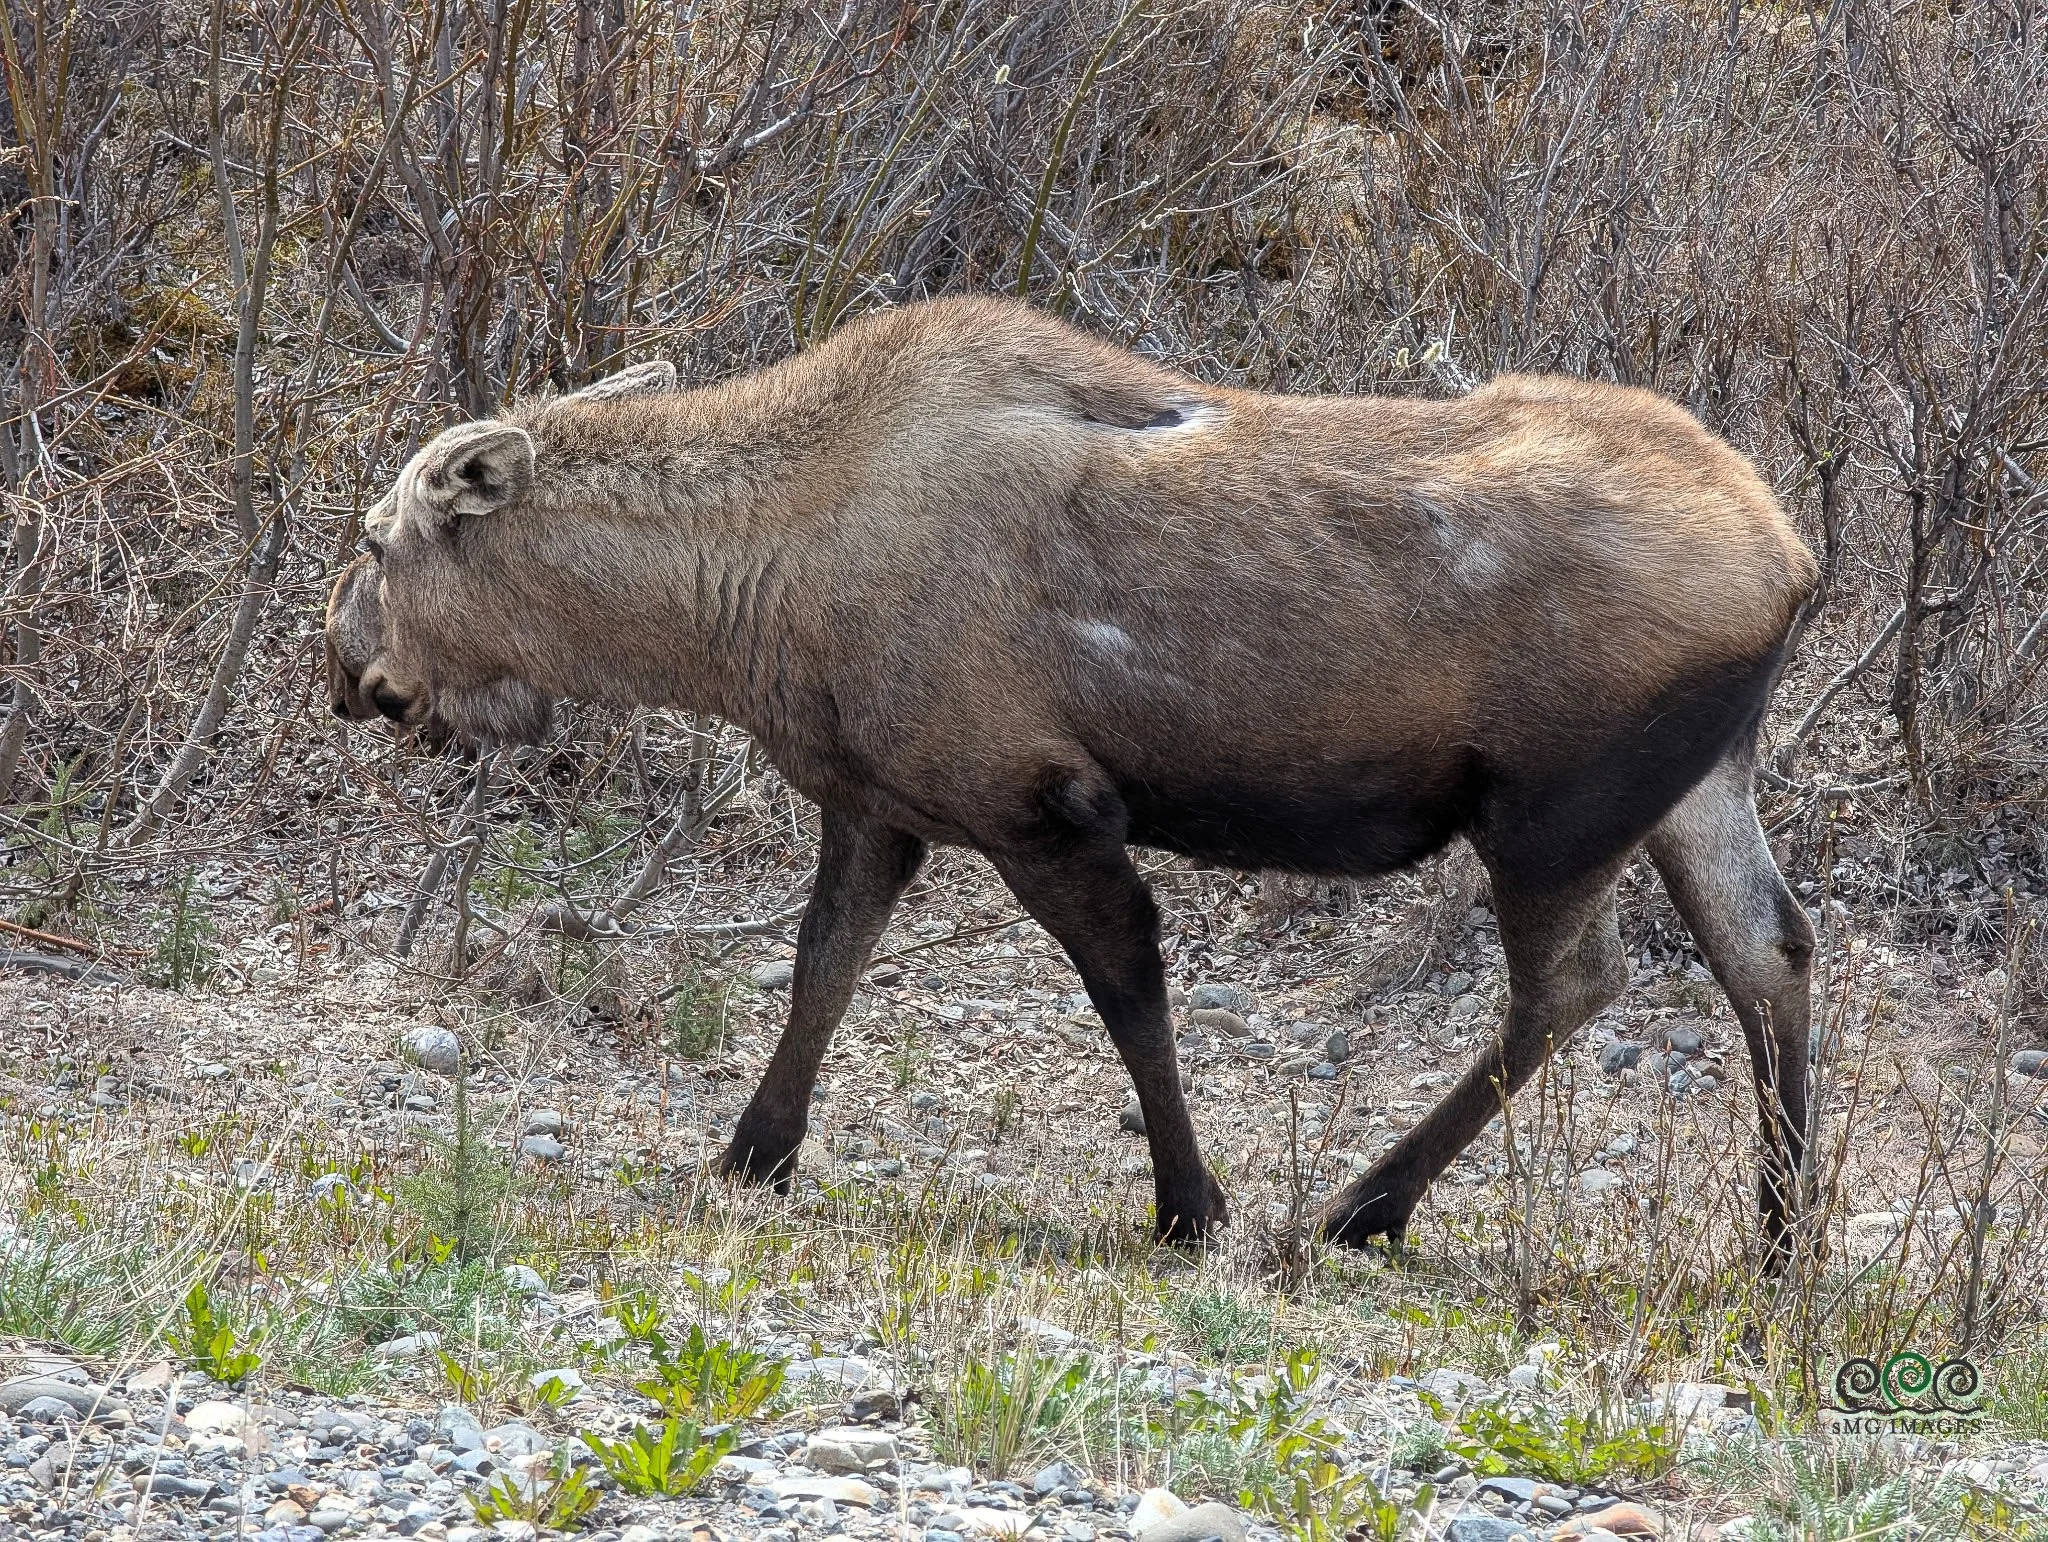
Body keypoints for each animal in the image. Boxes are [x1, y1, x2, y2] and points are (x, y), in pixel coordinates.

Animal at [327, 295, 1819, 1261]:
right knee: (1770, 951)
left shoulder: (1033, 802)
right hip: (1693, 787)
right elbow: (821, 970)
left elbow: (1127, 988)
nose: (345, 672)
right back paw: (1778, 1236)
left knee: (1573, 986)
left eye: (378, 541)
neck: (749, 603)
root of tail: (1795, 561)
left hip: (1552, 812)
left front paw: (1190, 1204)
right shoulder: (880, 802)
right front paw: (753, 1153)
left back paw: (1352, 1208)